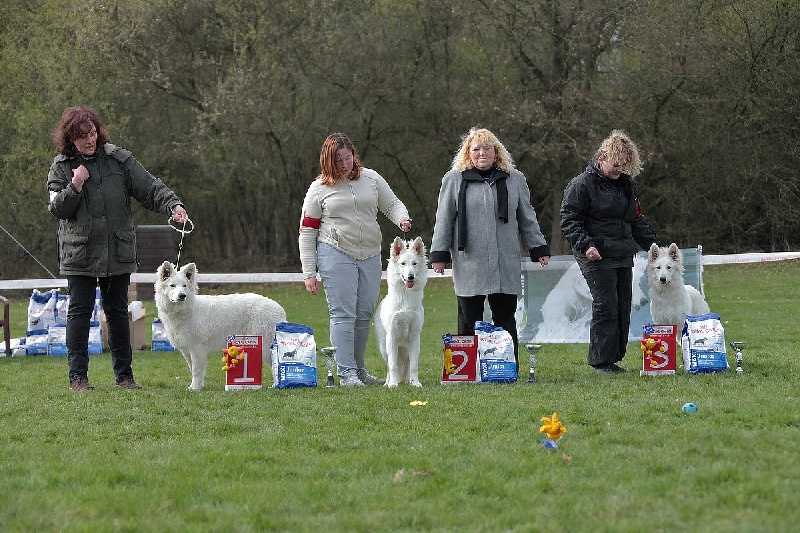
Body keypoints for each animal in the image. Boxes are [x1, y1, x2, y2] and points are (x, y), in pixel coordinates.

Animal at [155, 260, 286, 388]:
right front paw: (194, 386)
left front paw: (196, 389)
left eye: (184, 286)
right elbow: (192, 369)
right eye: (172, 285)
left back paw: (277, 385)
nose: (182, 296)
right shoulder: (187, 350)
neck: (185, 311)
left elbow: (197, 370)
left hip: (264, 345)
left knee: (275, 363)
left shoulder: (197, 348)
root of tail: (279, 308)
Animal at [374, 236, 428, 386]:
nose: (410, 277)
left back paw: (408, 380)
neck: (405, 299)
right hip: (384, 347)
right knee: (389, 365)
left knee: (408, 364)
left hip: (407, 350)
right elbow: (393, 366)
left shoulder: (415, 338)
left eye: (414, 264)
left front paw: (415, 383)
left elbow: (414, 366)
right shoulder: (392, 337)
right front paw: (393, 384)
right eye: (403, 264)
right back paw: (388, 382)